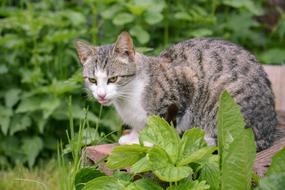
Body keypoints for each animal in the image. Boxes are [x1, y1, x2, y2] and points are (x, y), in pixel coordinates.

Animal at [75, 31, 276, 152]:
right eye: (92, 80)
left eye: (113, 79)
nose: (101, 95)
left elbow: (164, 123)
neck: (129, 96)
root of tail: (269, 131)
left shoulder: (186, 82)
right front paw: (134, 135)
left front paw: (149, 139)